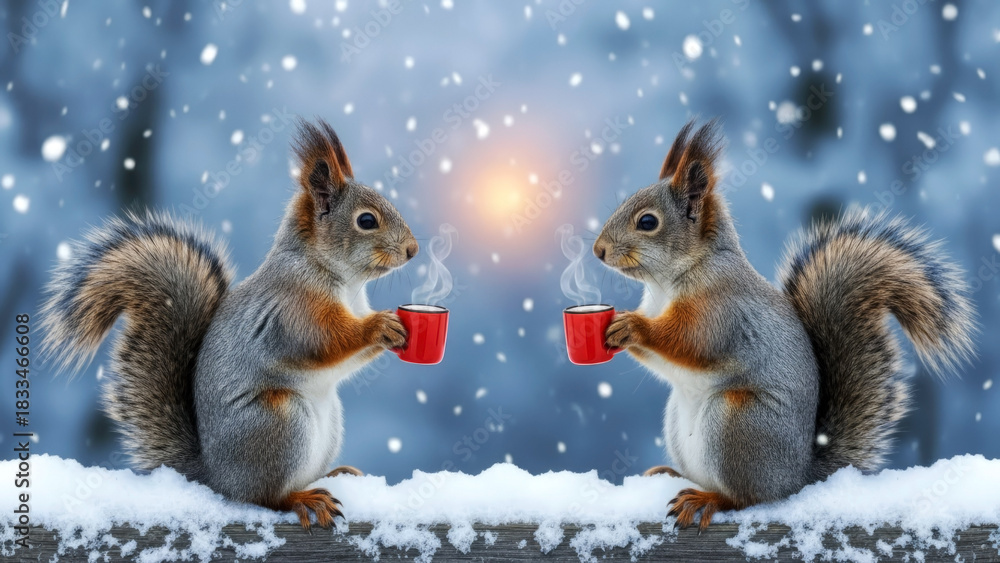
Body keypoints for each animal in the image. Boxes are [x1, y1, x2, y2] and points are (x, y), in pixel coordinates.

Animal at [40, 118, 419, 529]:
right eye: (366, 221)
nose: (413, 250)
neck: (342, 280)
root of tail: (216, 477)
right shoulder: (293, 310)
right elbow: (322, 342)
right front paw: (379, 326)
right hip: (277, 423)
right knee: (265, 497)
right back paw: (303, 498)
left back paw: (335, 474)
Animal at [594, 119, 977, 530]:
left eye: (647, 222)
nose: (598, 250)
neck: (667, 282)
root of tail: (798, 478)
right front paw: (616, 329)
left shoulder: (722, 313)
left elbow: (691, 343)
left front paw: (634, 327)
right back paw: (670, 474)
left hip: (738, 422)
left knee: (747, 498)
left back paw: (707, 498)